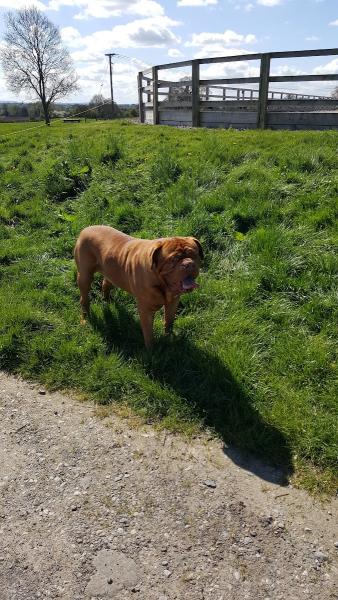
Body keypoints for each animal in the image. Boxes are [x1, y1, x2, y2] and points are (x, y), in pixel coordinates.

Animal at [74, 225, 202, 346]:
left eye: (194, 255)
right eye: (174, 259)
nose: (189, 263)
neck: (161, 283)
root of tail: (86, 229)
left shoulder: (173, 303)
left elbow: (169, 322)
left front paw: (169, 338)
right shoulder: (146, 310)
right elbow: (148, 332)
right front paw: (151, 350)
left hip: (111, 270)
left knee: (106, 282)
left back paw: (107, 300)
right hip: (85, 276)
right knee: (84, 298)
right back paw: (85, 318)